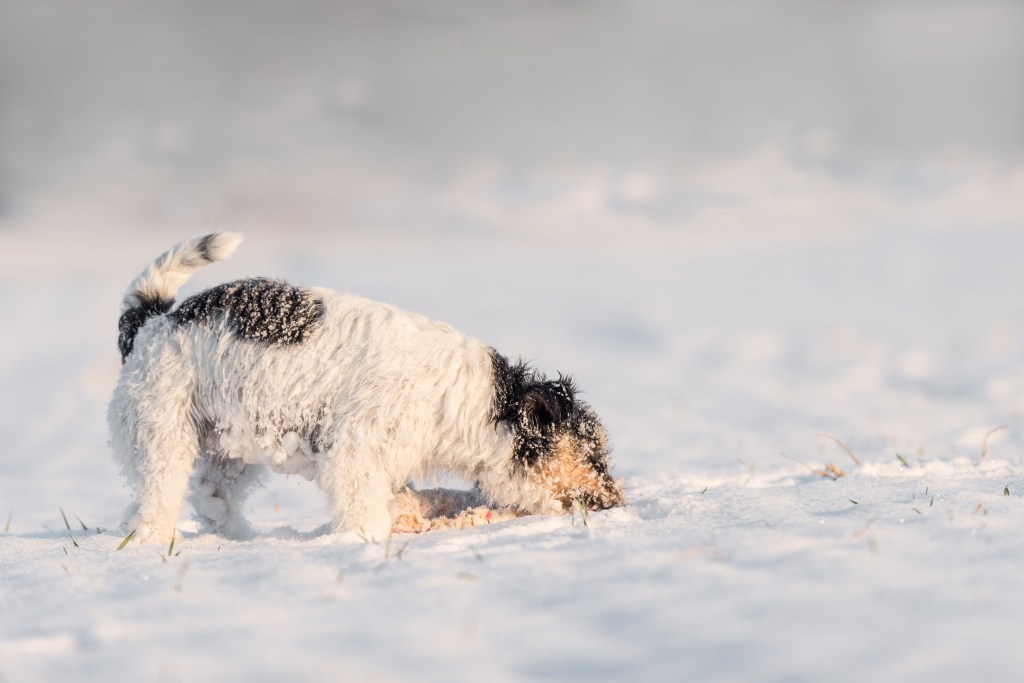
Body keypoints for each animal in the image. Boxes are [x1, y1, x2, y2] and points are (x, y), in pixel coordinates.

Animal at [112, 235, 622, 544]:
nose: (618, 502)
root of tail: (152, 322)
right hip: (163, 434)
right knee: (156, 501)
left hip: (229, 448)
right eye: (593, 456)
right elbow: (363, 510)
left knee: (212, 498)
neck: (477, 405)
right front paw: (370, 541)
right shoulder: (357, 454)